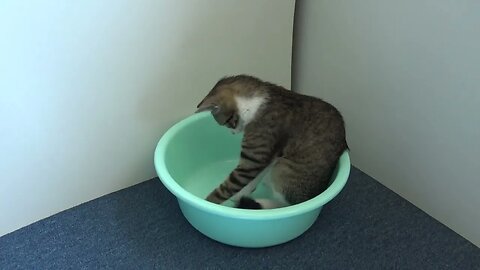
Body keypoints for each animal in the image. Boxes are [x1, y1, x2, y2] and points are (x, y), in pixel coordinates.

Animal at [195, 75, 348, 210]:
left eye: (226, 123)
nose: (232, 133)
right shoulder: (266, 157)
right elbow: (254, 178)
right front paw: (241, 194)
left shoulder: (254, 159)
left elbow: (226, 188)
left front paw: (207, 203)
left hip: (282, 170)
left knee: (288, 205)